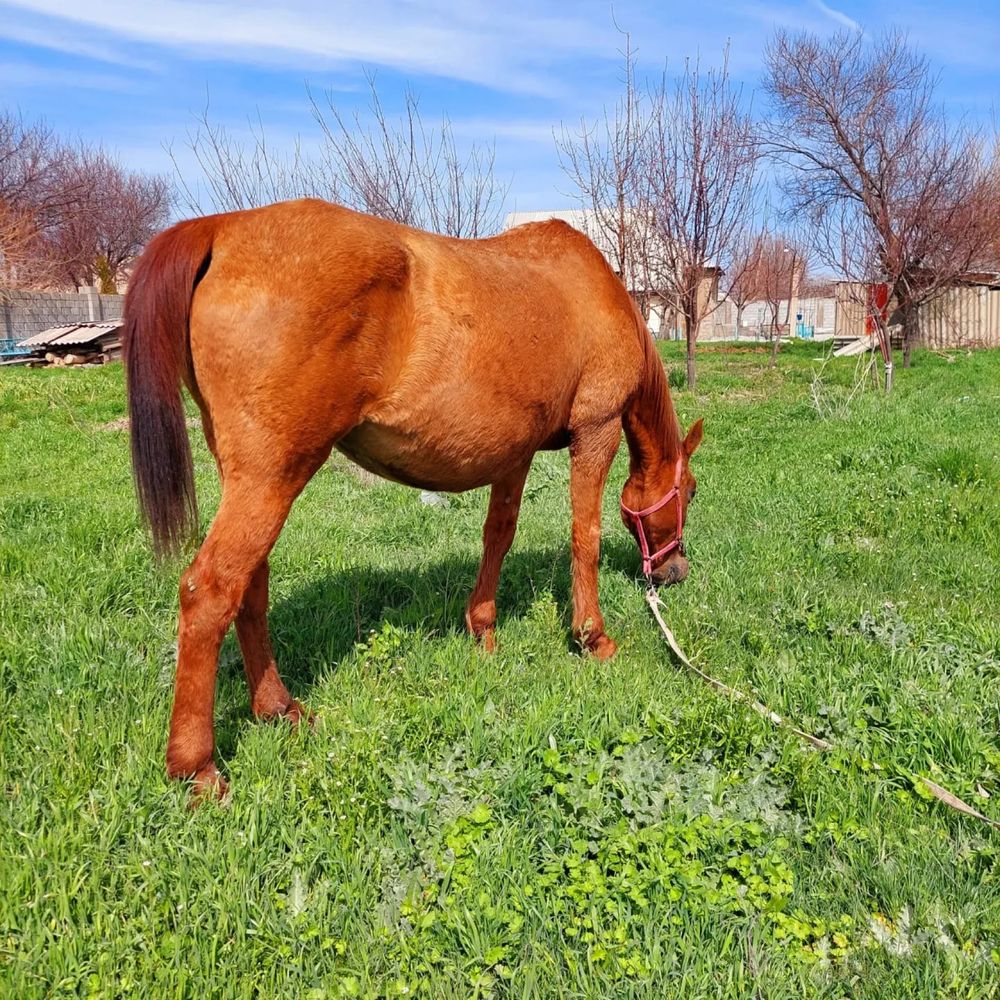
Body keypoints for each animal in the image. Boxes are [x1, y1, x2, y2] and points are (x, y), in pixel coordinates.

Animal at [125, 197, 704, 796]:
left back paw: (279, 708)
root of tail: (219, 228)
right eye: (689, 491)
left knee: (250, 588)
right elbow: (583, 537)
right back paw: (197, 767)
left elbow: (498, 536)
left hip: (251, 481)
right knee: (211, 591)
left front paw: (483, 630)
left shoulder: (513, 454)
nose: (674, 572)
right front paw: (593, 638)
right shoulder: (597, 429)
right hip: (271, 478)